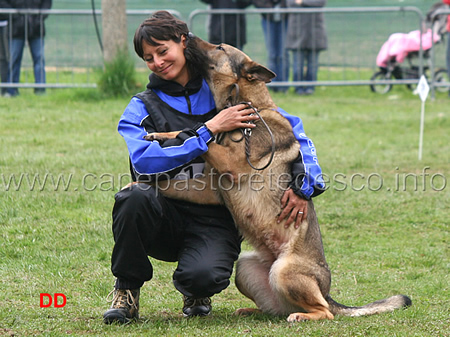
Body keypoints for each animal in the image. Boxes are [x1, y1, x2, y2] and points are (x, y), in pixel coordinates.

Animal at [145, 38, 412, 322]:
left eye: (220, 47)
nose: (188, 36)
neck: (250, 107)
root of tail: (326, 292)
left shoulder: (230, 164)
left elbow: (201, 137)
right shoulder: (209, 190)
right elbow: (186, 146)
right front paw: (146, 163)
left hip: (283, 272)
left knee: (324, 312)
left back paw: (303, 316)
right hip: (245, 268)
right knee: (275, 308)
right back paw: (252, 310)